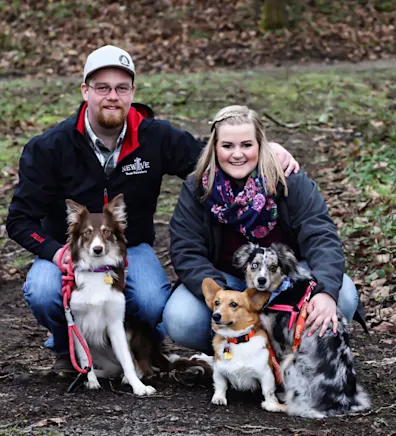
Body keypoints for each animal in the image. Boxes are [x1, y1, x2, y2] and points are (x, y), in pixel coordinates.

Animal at [203, 278, 286, 414]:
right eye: (217, 302)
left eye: (233, 304)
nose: (215, 316)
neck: (237, 339)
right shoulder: (219, 371)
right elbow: (221, 385)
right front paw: (219, 398)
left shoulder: (266, 374)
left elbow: (267, 391)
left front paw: (271, 404)